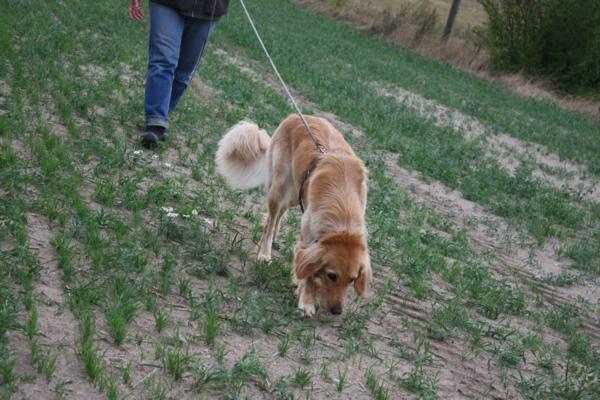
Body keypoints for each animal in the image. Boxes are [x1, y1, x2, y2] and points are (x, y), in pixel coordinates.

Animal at [216, 114, 371, 317]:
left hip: (295, 194)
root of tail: (297, 115)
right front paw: (307, 301)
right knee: (271, 220)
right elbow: (309, 273)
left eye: (352, 279)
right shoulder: (308, 236)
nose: (337, 311)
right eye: (332, 276)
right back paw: (264, 253)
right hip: (280, 186)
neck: (342, 209)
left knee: (278, 215)